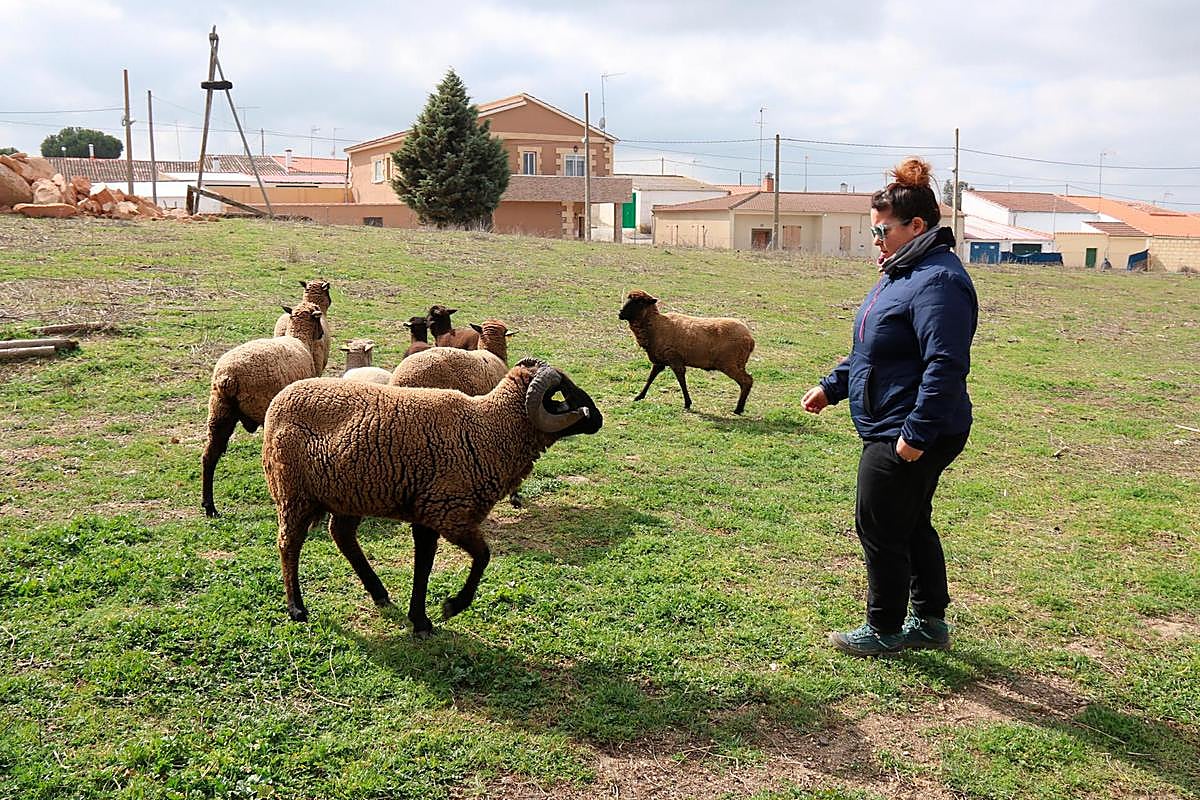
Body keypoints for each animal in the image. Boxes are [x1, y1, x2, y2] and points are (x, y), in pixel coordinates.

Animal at [202, 302, 326, 518]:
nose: (322, 334)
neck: (300, 340)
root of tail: (228, 377)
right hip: (263, 410)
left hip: (219, 411)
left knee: (209, 455)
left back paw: (210, 507)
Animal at [260, 358, 603, 631]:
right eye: (562, 393)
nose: (598, 417)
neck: (490, 431)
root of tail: (278, 401)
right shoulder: (448, 512)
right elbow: (482, 556)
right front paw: (451, 607)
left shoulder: (427, 513)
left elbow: (423, 565)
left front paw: (420, 619)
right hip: (293, 492)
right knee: (289, 543)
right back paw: (296, 608)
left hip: (348, 493)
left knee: (342, 536)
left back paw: (379, 593)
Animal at [618, 290, 755, 414]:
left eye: (640, 302)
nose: (620, 313)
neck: (655, 325)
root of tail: (750, 339)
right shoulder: (660, 360)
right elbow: (650, 378)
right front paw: (639, 396)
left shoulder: (674, 358)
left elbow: (681, 380)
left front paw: (687, 403)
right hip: (738, 363)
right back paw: (740, 408)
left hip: (729, 363)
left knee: (747, 381)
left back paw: (738, 409)